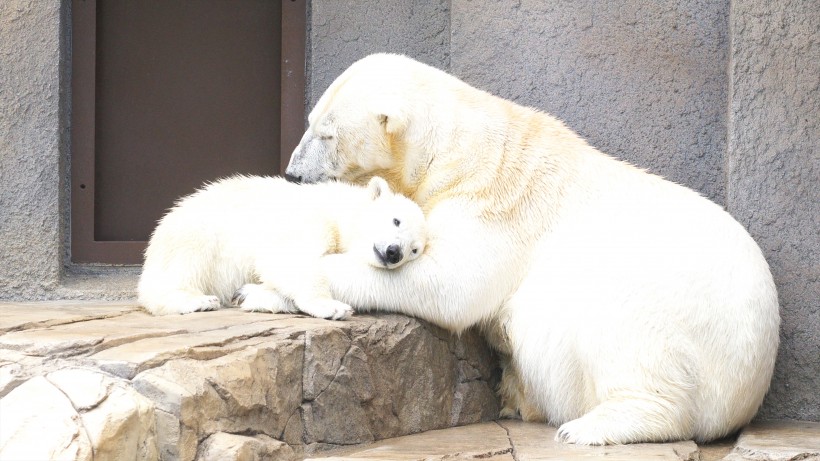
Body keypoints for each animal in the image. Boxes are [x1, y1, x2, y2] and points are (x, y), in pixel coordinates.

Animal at [286, 54, 780, 446]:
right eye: (308, 121)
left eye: (327, 134)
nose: (291, 174)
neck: (461, 151)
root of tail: (751, 382)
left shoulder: (497, 202)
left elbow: (453, 285)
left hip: (675, 306)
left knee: (627, 334)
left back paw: (588, 426)